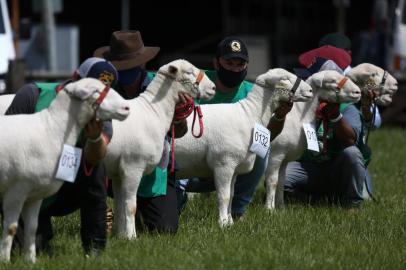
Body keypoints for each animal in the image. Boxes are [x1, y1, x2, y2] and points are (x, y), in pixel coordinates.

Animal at [0, 77, 130, 262]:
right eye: (96, 91)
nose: (127, 108)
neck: (52, 129)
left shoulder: (34, 195)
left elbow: (32, 227)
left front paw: (30, 261)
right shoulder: (16, 191)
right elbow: (11, 228)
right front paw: (5, 261)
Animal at [104, 58, 217, 238]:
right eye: (189, 72)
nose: (213, 88)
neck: (153, 112)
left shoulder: (118, 173)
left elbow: (120, 206)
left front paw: (122, 236)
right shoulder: (132, 167)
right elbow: (131, 206)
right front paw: (131, 238)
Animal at [174, 67, 314, 226]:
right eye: (285, 78)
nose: (310, 90)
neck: (250, 115)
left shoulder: (234, 167)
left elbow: (231, 194)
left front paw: (230, 222)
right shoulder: (224, 164)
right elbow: (224, 196)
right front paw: (222, 223)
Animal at [264, 64, 396, 210]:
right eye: (332, 81)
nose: (357, 92)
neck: (298, 116)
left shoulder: (285, 158)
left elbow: (281, 182)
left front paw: (281, 207)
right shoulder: (276, 154)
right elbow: (273, 181)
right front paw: (270, 209)